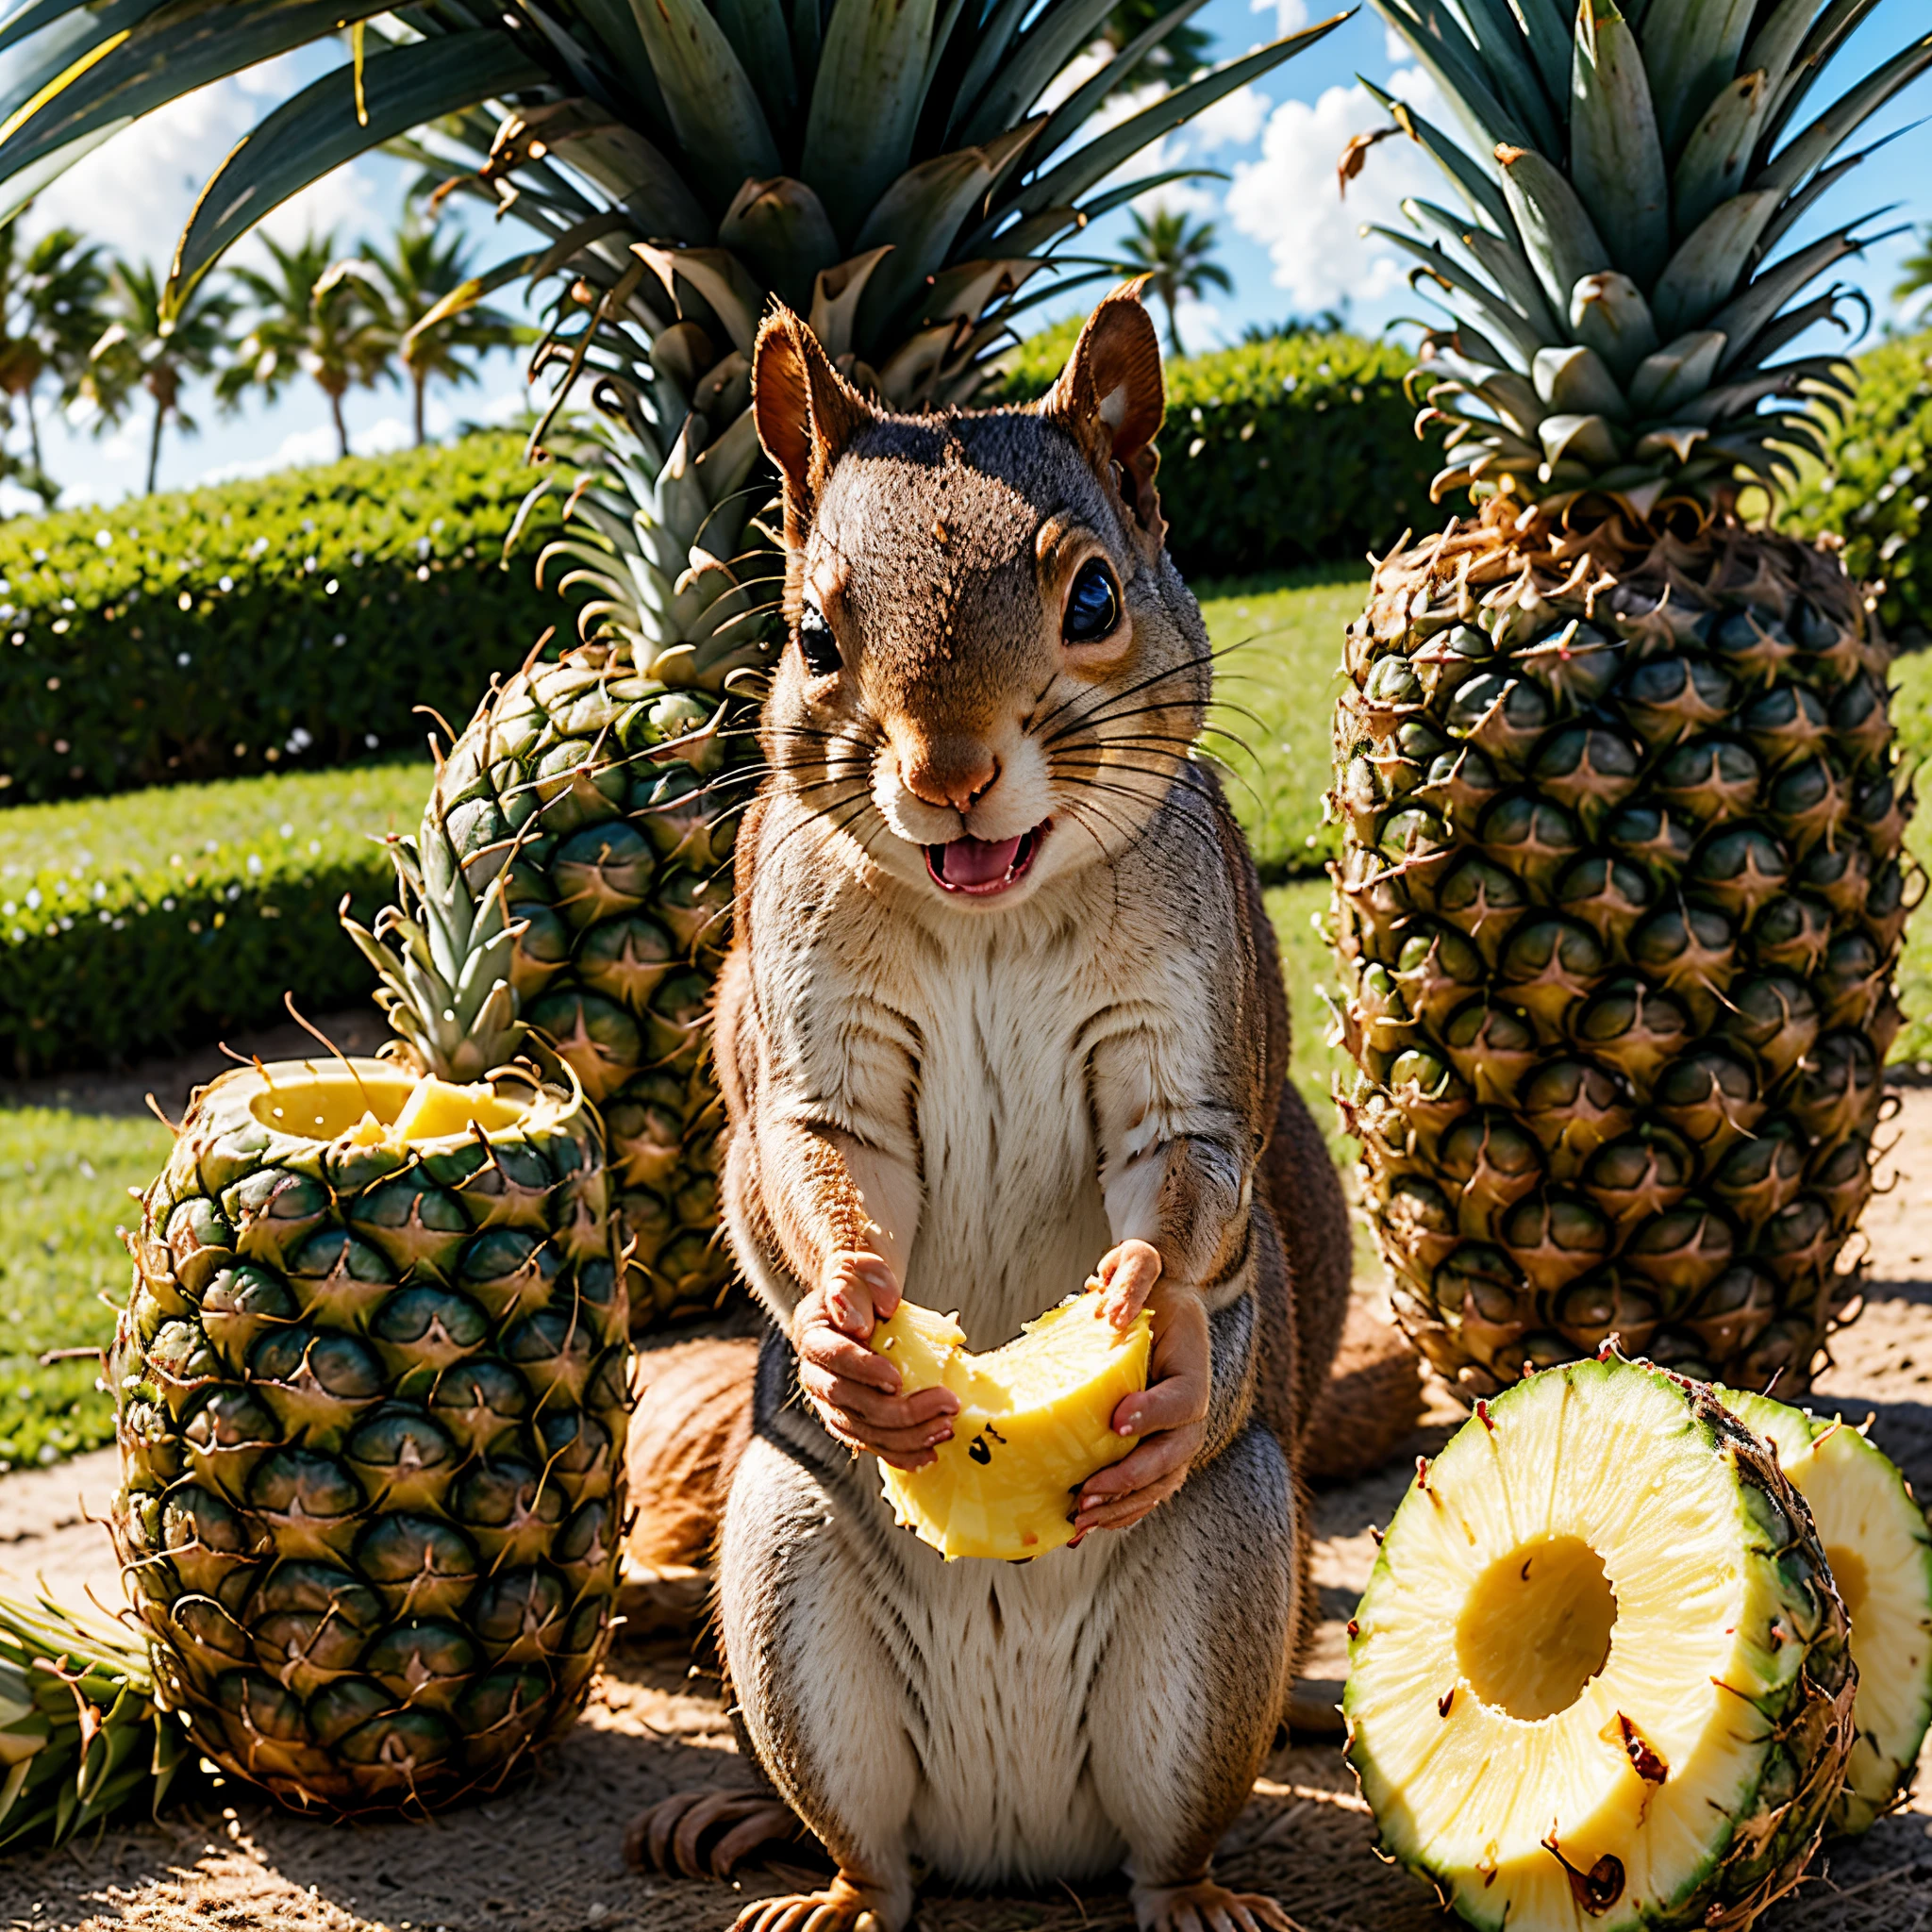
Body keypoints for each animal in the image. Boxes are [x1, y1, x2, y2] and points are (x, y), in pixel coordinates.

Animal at [641, 286, 1352, 1932]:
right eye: (809, 634)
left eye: (1093, 597)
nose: (952, 773)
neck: (991, 914)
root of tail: (1014, 1840)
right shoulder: (808, 1041)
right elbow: (810, 1165)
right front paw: (849, 1327)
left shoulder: (1185, 1037)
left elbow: (1183, 1171)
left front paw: (1157, 1338)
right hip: (783, 1581)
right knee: (873, 1849)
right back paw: (821, 1885)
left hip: (1226, 1588)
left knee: (1166, 1845)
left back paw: (1203, 1898)